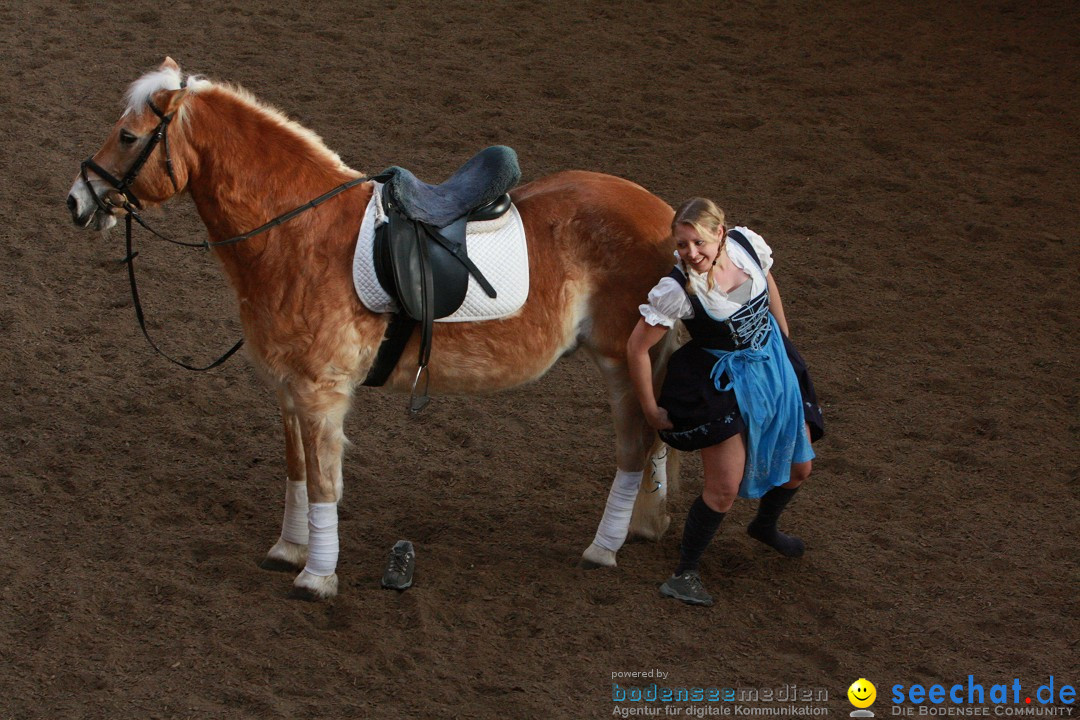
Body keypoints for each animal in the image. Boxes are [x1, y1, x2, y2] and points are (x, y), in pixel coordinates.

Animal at [65, 56, 673, 600]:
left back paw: (603, 547)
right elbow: (297, 471)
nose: (76, 202)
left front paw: (316, 577)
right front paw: (289, 549)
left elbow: (323, 481)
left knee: (635, 447)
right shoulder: (287, 388)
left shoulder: (321, 392)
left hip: (622, 362)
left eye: (126, 136)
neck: (296, 232)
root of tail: (667, 217)